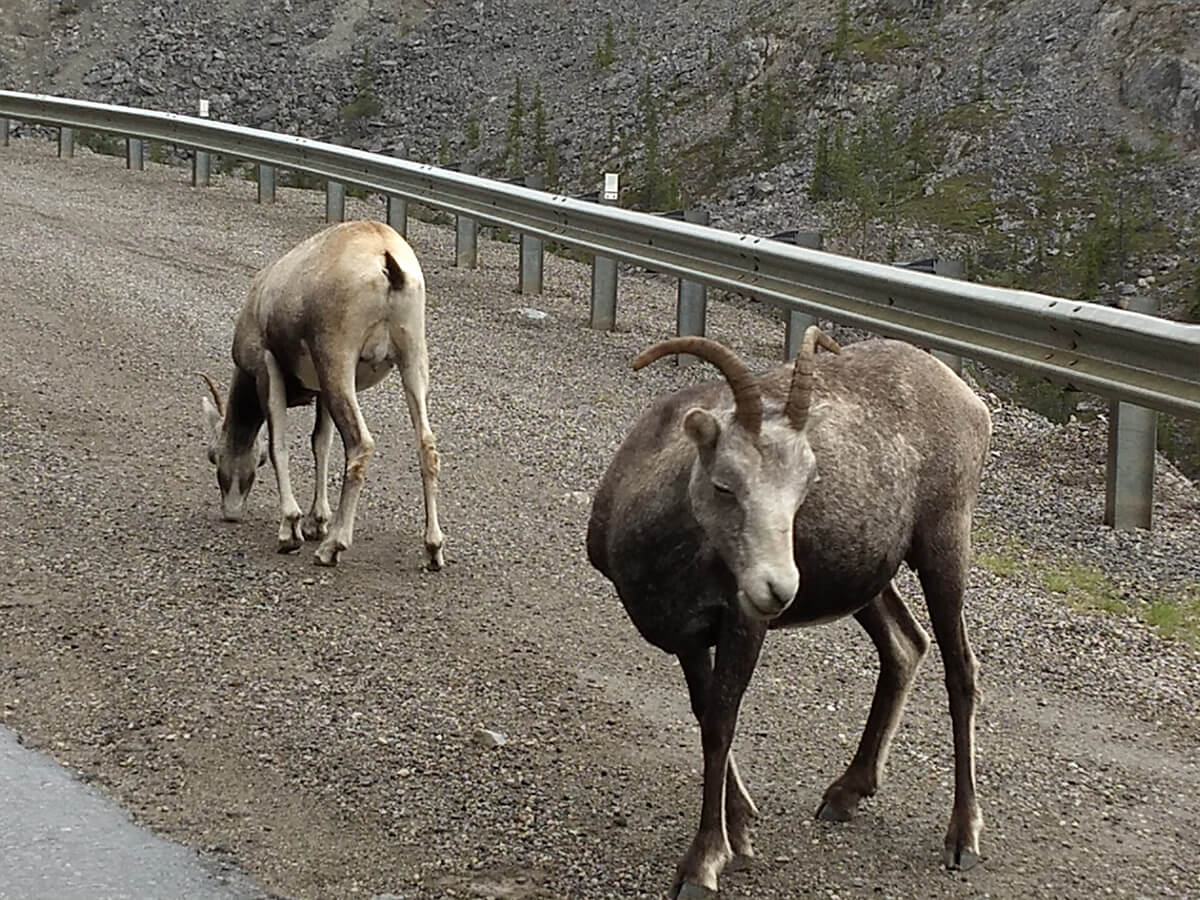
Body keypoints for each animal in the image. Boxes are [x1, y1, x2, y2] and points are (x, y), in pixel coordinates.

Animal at [201, 220, 446, 571]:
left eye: (213, 455)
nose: (231, 512)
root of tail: (385, 257)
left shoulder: (267, 369)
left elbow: (279, 446)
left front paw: (291, 530)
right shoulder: (322, 393)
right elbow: (321, 443)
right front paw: (316, 522)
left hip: (338, 363)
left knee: (360, 444)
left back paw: (332, 548)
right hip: (411, 360)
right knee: (427, 446)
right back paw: (433, 550)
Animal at [588, 331, 993, 900]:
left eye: (807, 484)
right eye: (724, 485)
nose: (778, 588)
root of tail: (967, 399)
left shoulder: (742, 626)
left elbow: (720, 725)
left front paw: (704, 865)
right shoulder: (690, 638)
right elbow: (706, 716)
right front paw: (739, 831)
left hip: (943, 549)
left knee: (961, 672)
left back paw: (963, 839)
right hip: (869, 585)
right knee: (905, 645)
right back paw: (845, 794)